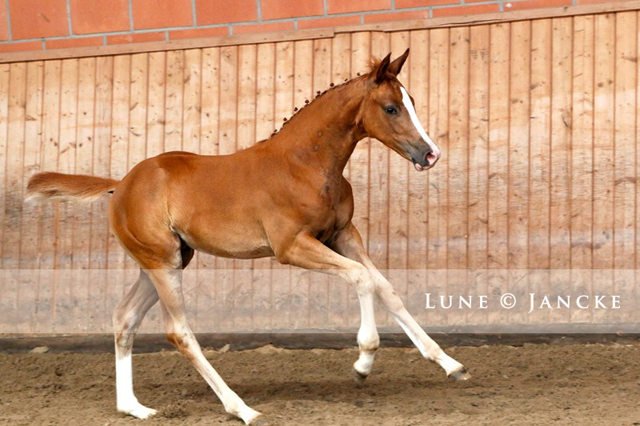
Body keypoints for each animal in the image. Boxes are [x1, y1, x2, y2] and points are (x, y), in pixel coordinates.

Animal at [27, 49, 468, 422]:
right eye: (391, 107)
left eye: (412, 101)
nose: (430, 154)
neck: (305, 164)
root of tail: (121, 185)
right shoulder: (292, 246)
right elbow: (362, 279)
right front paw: (363, 362)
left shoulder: (343, 235)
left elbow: (385, 287)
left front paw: (449, 364)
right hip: (162, 263)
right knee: (178, 332)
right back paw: (242, 408)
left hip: (165, 261)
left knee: (125, 317)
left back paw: (134, 407)